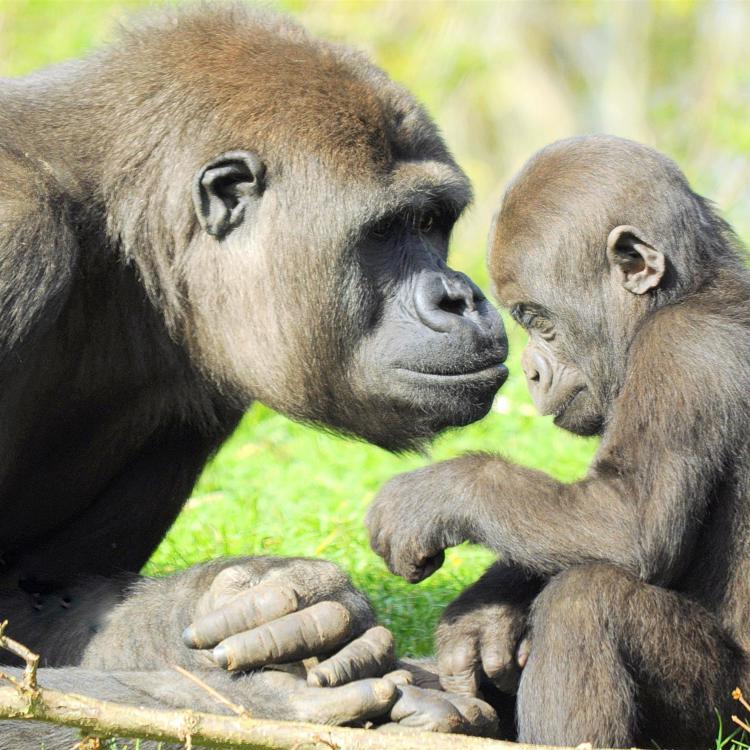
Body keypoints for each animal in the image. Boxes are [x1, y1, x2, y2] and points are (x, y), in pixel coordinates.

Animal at [0, 5, 508, 748]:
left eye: (432, 223)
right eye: (388, 230)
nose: (462, 297)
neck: (123, 228)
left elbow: (36, 599)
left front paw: (242, 601)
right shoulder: (16, 237)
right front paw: (269, 702)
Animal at [368, 137, 750, 750]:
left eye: (535, 319)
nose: (530, 372)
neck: (683, 295)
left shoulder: (679, 352)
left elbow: (625, 520)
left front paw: (434, 495)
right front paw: (485, 613)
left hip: (732, 719)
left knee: (587, 602)